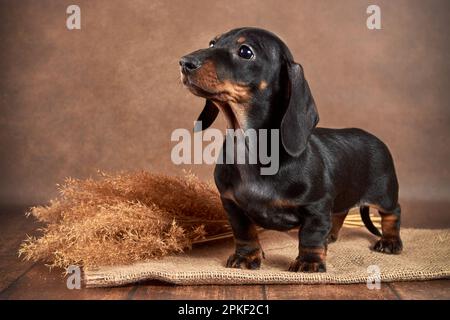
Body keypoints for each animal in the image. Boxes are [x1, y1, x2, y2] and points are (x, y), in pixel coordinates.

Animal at [178, 27, 400, 272]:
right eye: (212, 43)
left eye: (245, 51)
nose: (185, 62)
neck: (251, 149)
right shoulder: (232, 204)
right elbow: (244, 233)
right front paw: (246, 257)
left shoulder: (316, 206)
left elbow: (311, 236)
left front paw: (309, 262)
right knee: (340, 213)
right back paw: (331, 235)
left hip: (384, 193)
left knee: (392, 213)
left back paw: (390, 242)